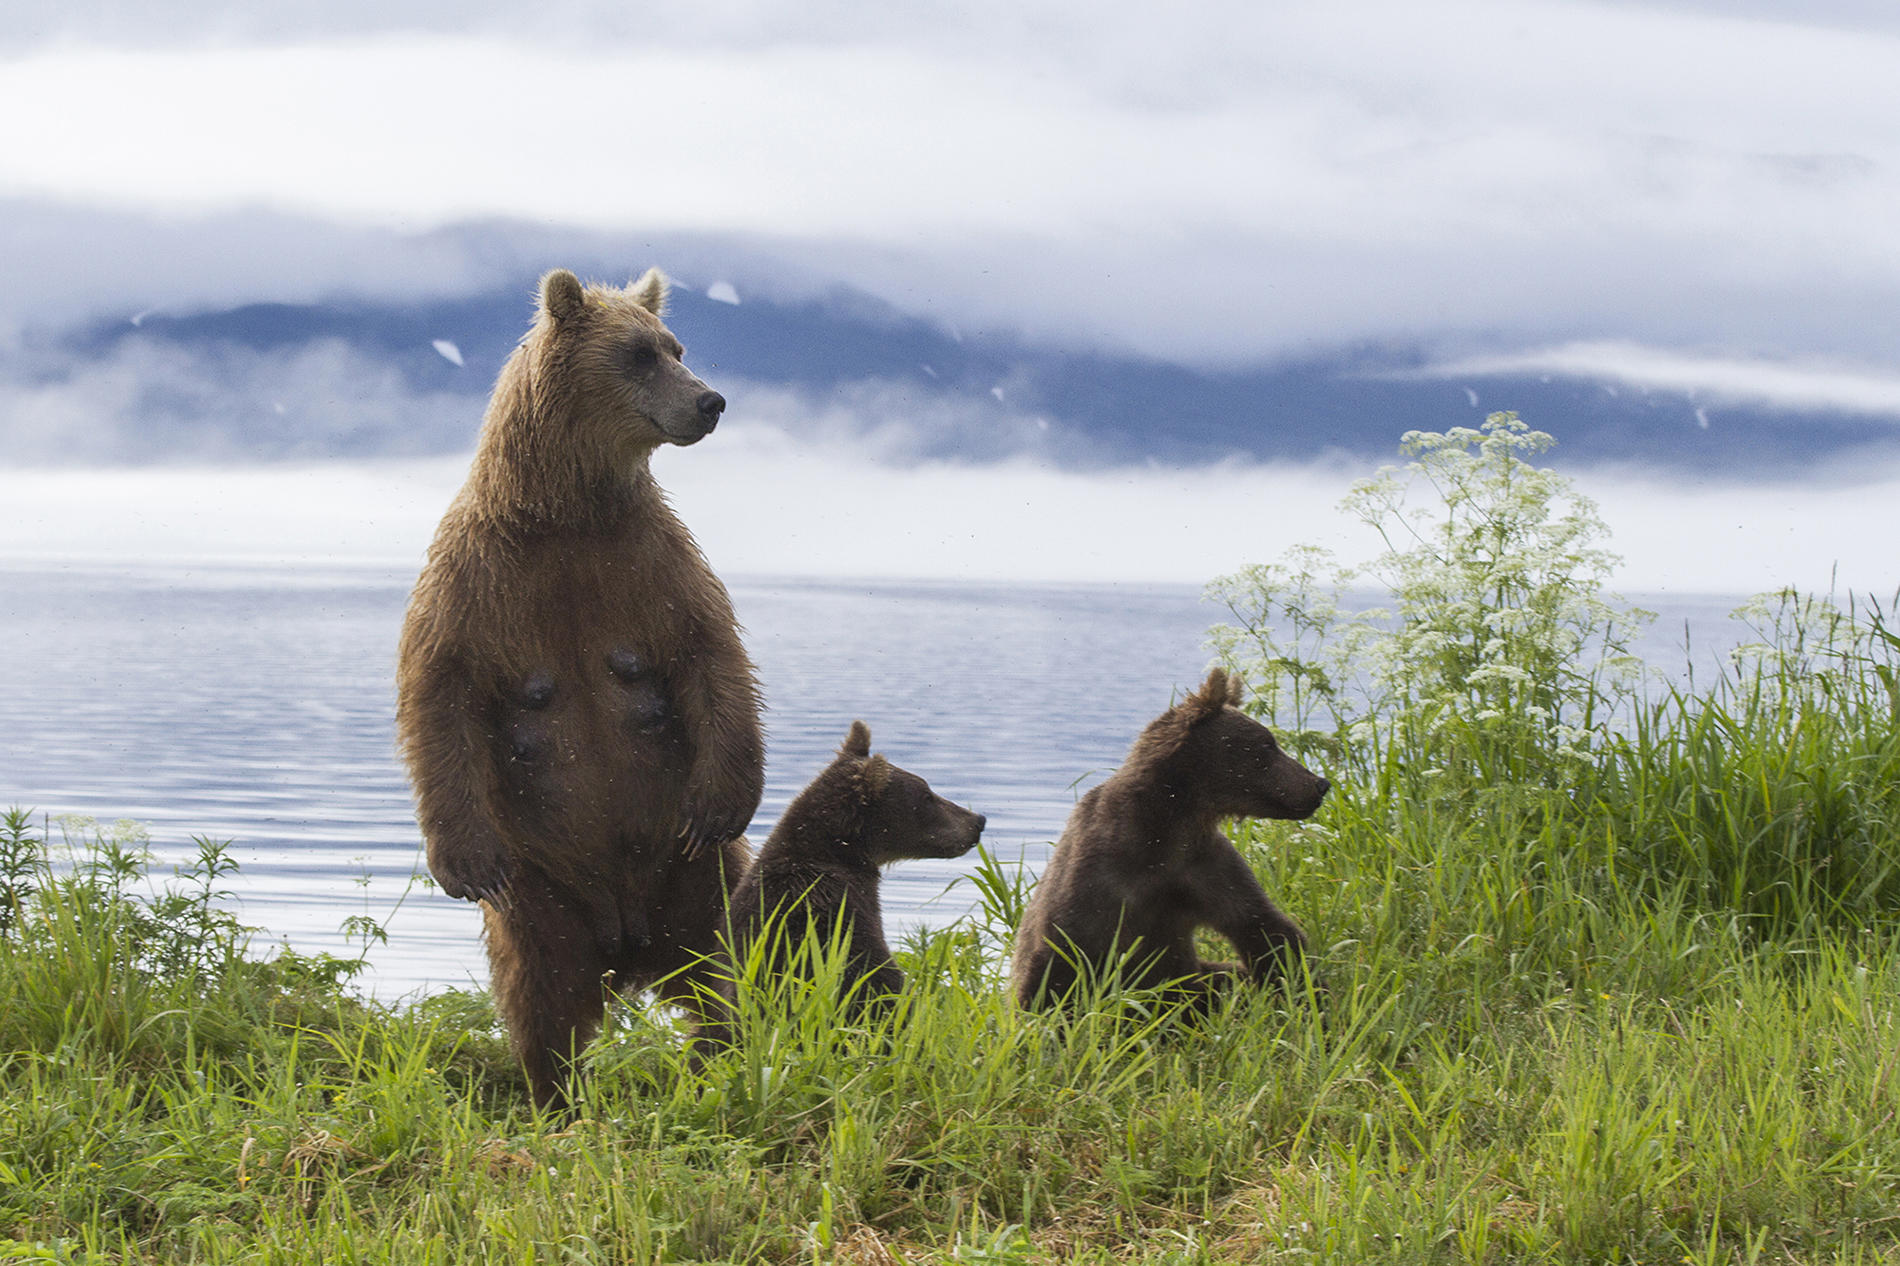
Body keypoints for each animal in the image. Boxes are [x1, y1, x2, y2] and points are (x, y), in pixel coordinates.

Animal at [395, 266, 763, 1102]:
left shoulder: (649, 564)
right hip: (540, 889)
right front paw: (460, 861)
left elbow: (713, 657)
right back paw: (555, 1094)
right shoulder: (477, 579)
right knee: (540, 990)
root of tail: (628, 944)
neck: (562, 513)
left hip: (693, 879)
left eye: (675, 345)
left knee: (721, 967)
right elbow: (437, 691)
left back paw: (715, 1065)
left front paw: (724, 798)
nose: (710, 400)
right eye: (638, 354)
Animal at [1010, 665, 1337, 1011]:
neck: (1169, 825)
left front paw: (1312, 996)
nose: (1320, 783)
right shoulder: (1099, 875)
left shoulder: (1201, 867)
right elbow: (1059, 953)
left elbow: (1263, 928)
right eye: (1267, 745)